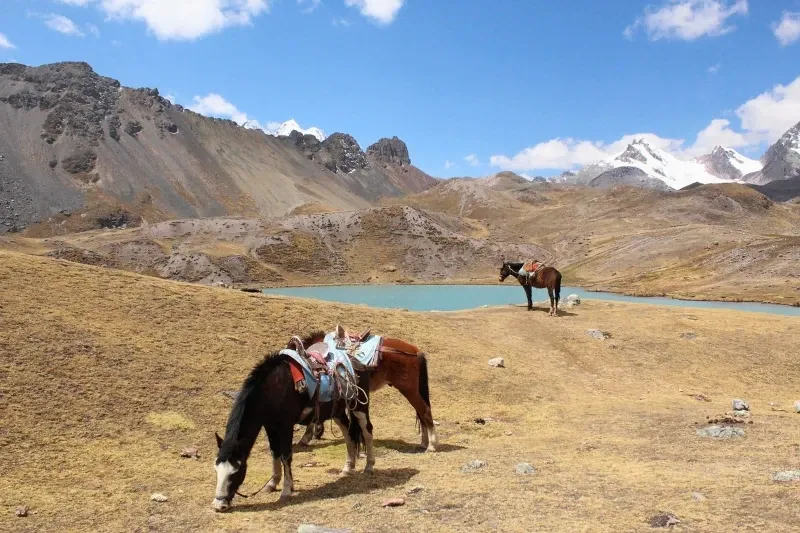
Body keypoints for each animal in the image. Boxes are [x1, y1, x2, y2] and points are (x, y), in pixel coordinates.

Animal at [212, 331, 373, 512]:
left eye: (236, 471)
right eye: (216, 470)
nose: (219, 505)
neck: (272, 390)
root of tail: (357, 362)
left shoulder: (285, 426)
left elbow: (286, 455)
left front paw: (287, 489)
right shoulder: (270, 426)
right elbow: (274, 452)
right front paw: (272, 484)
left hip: (359, 406)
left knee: (367, 430)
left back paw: (369, 466)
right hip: (338, 412)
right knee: (347, 432)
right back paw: (348, 467)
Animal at [294, 329, 439, 453]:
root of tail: (416, 351)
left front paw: (307, 437)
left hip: (409, 390)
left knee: (424, 411)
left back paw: (431, 445)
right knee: (421, 412)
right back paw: (424, 443)